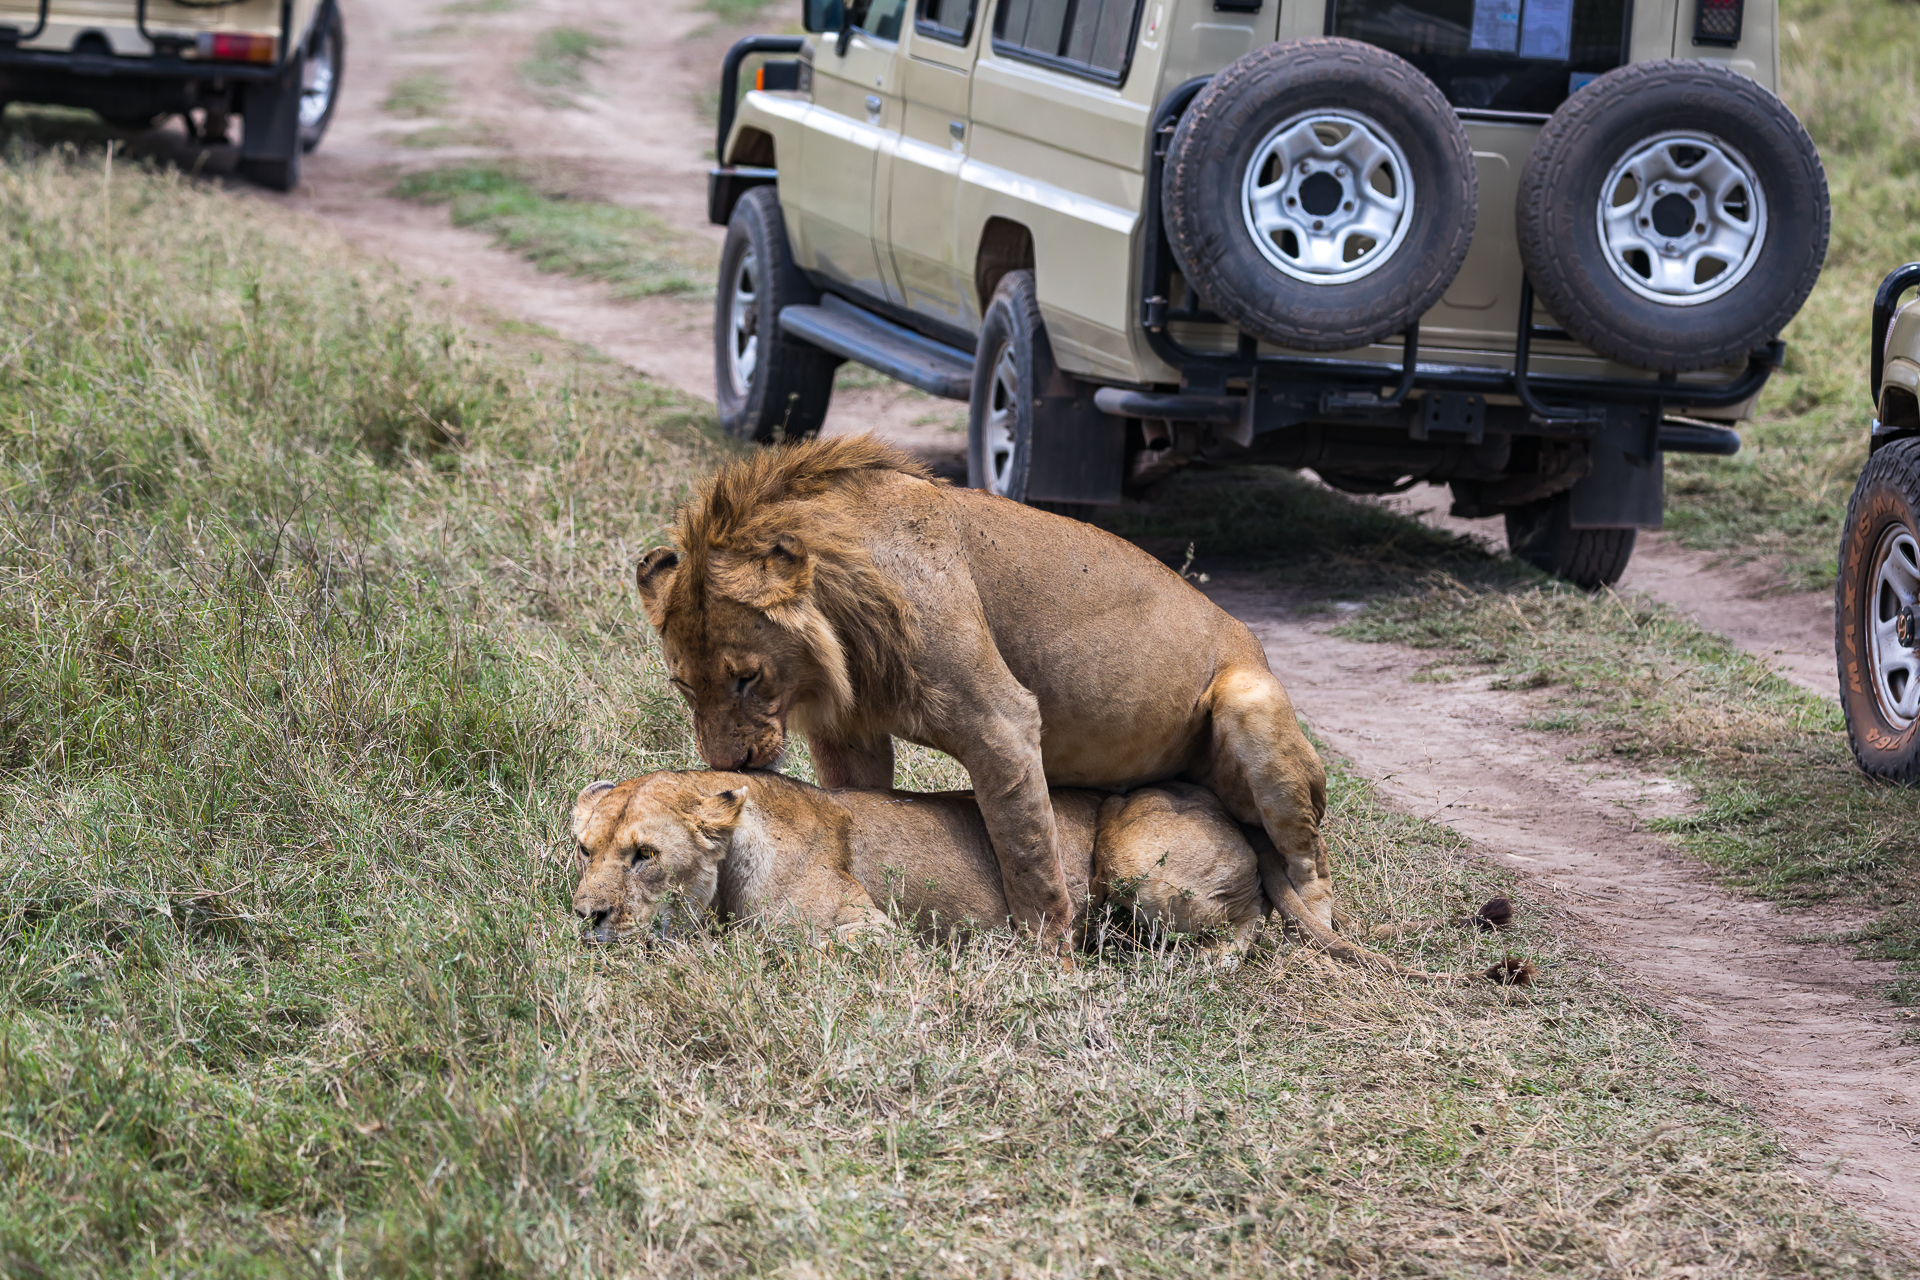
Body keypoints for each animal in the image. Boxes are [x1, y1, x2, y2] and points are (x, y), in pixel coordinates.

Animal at [564, 771, 1274, 951]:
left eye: (645, 855)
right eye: (584, 850)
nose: (586, 916)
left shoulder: (873, 932)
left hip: (1136, 859)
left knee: (1253, 920)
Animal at [637, 435, 1344, 955]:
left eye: (746, 678)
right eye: (684, 684)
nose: (728, 766)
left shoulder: (1000, 722)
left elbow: (1028, 855)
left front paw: (1048, 958)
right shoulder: (851, 731)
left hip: (1248, 701)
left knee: (1310, 864)